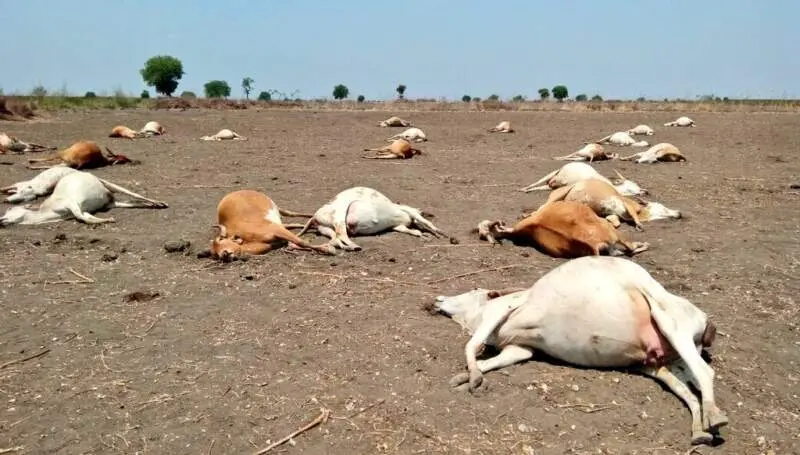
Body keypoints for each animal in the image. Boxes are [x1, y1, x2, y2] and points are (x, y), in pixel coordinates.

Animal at [0, 171, 167, 226]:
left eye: (10, 209)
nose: (1, 220)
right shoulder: (81, 209)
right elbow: (86, 217)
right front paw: (106, 219)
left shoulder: (72, 203)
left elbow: (83, 218)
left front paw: (108, 220)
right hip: (110, 203)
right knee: (130, 202)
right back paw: (153, 205)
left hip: (109, 184)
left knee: (136, 195)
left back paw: (160, 203)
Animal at [296, 186, 447, 251]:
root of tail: (315, 216)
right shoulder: (409, 211)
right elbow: (426, 222)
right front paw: (440, 233)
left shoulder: (397, 226)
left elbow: (410, 230)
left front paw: (423, 235)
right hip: (339, 217)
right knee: (342, 235)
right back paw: (354, 246)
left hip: (326, 228)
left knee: (335, 239)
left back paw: (348, 247)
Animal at [428, 255, 728, 446]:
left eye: (474, 289)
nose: (438, 299)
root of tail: (706, 322)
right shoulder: (519, 348)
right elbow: (495, 359)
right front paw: (465, 378)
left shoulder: (501, 310)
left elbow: (471, 344)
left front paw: (473, 377)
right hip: (660, 364)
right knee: (689, 391)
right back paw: (700, 431)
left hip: (670, 323)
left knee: (705, 372)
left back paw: (715, 418)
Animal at [536, 178, 682, 230]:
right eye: (663, 207)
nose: (679, 213)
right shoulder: (627, 204)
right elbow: (634, 216)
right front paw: (639, 225)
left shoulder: (612, 214)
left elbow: (615, 222)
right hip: (559, 194)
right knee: (541, 207)